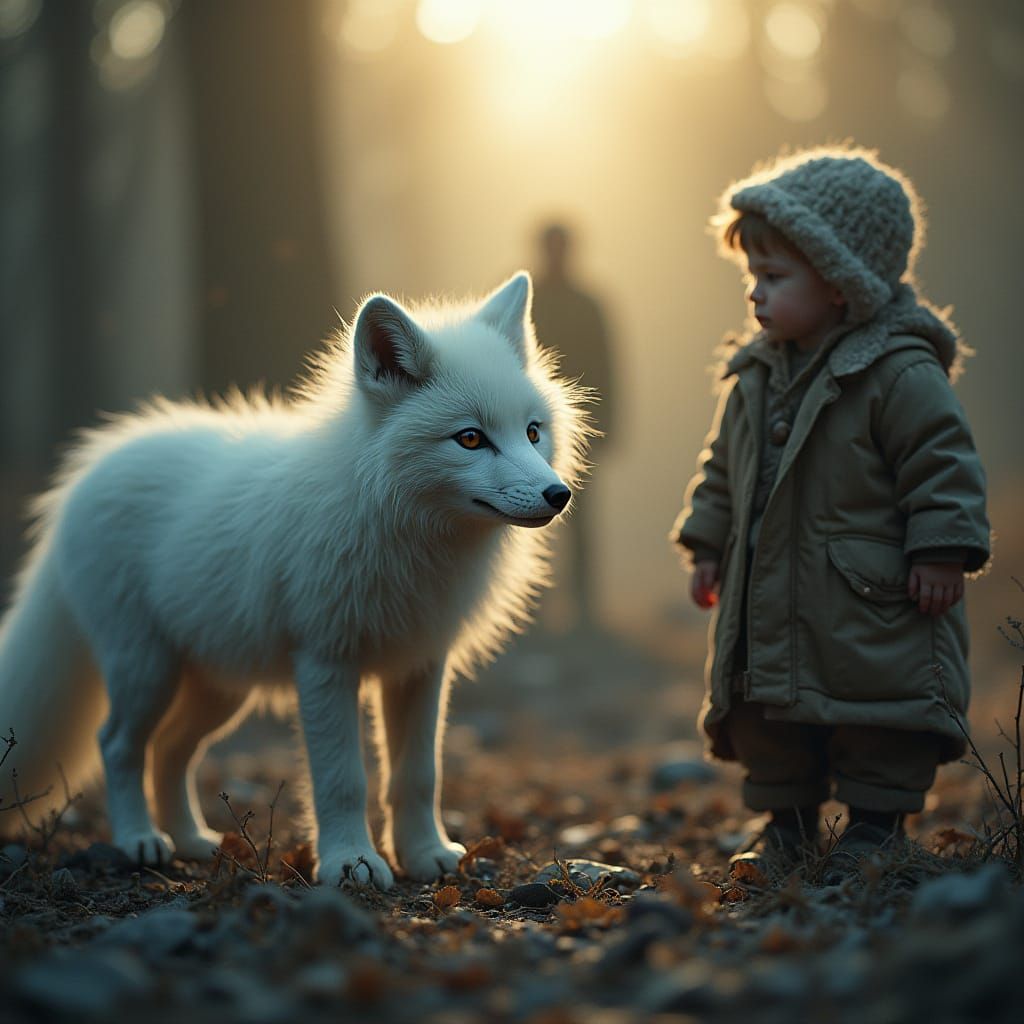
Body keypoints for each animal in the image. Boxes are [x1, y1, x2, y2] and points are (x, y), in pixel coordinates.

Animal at [0, 272, 590, 888]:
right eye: (471, 439)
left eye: (532, 433)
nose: (558, 495)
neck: (399, 529)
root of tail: (83, 474)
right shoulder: (325, 662)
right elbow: (343, 779)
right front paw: (352, 863)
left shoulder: (421, 665)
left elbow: (418, 774)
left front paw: (424, 854)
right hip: (146, 670)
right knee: (117, 745)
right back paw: (140, 841)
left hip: (220, 688)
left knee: (168, 751)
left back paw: (192, 842)